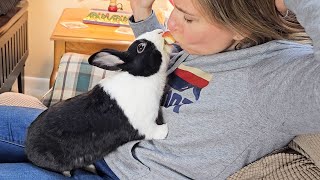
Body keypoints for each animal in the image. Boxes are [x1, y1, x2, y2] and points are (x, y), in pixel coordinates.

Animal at [25, 28, 172, 175]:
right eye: (141, 47)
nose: (160, 31)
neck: (141, 76)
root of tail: (29, 149)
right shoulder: (145, 125)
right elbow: (154, 132)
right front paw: (165, 129)